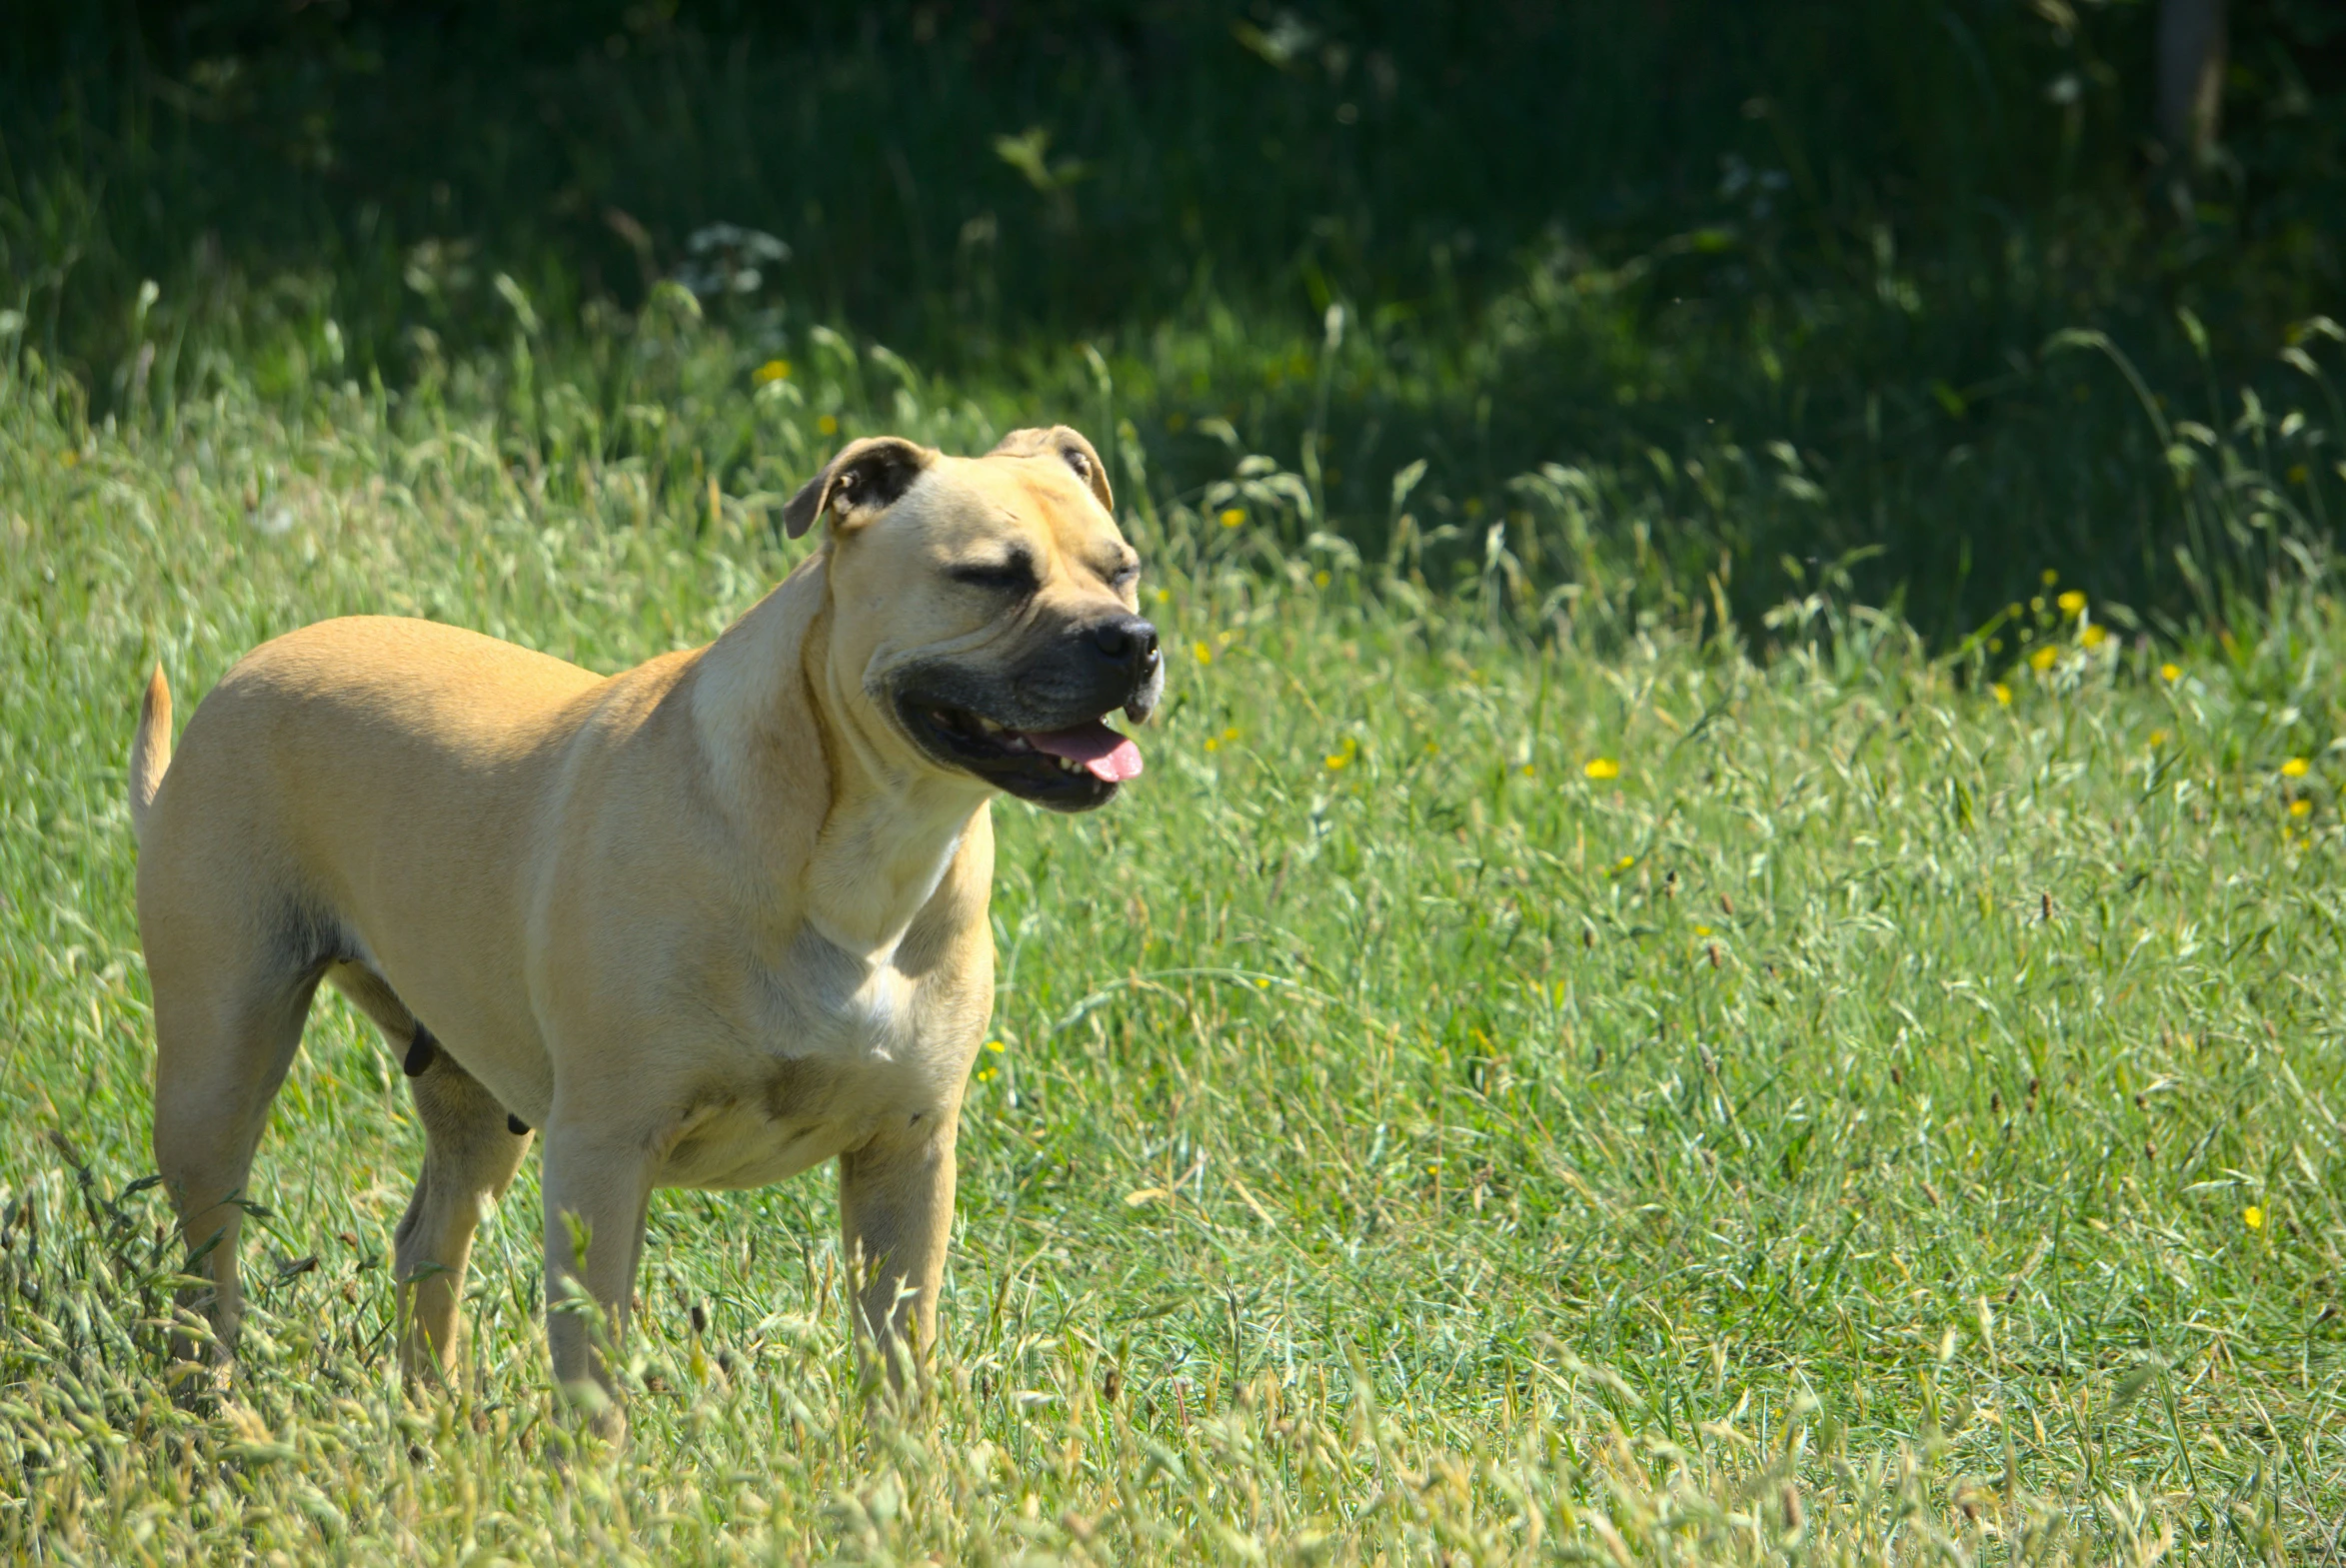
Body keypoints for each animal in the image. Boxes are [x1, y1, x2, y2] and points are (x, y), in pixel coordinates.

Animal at [126, 424, 1154, 1406]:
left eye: (1122, 567)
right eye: (989, 576)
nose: (1133, 640)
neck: (866, 840)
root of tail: (248, 669)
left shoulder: (908, 1154)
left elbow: (896, 1358)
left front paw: (900, 1465)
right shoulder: (603, 1156)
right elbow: (594, 1365)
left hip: (473, 1105)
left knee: (428, 1241)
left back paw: (428, 1415)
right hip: (218, 1071)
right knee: (206, 1267)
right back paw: (212, 1406)